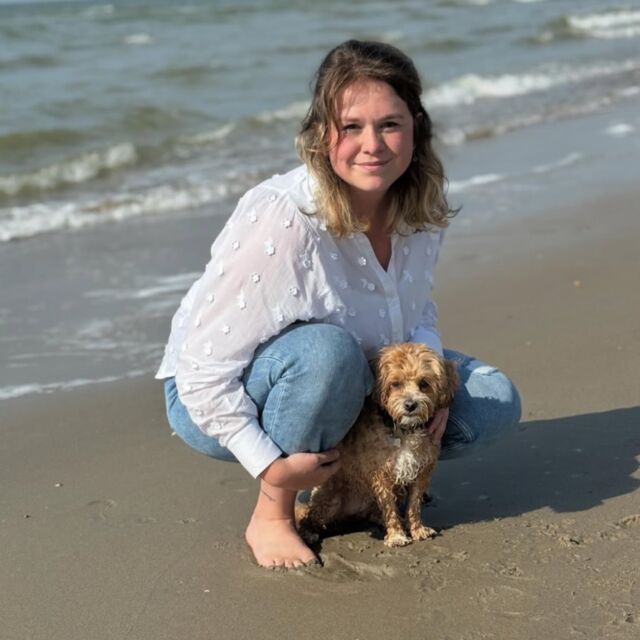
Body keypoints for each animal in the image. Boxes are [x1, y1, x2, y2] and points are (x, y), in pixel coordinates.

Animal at [299, 342, 458, 547]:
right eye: (396, 383)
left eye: (424, 383)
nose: (410, 405)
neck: (404, 430)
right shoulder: (381, 474)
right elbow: (389, 507)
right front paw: (397, 535)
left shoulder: (422, 470)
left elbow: (414, 504)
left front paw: (417, 529)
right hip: (329, 501)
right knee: (307, 516)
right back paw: (307, 533)